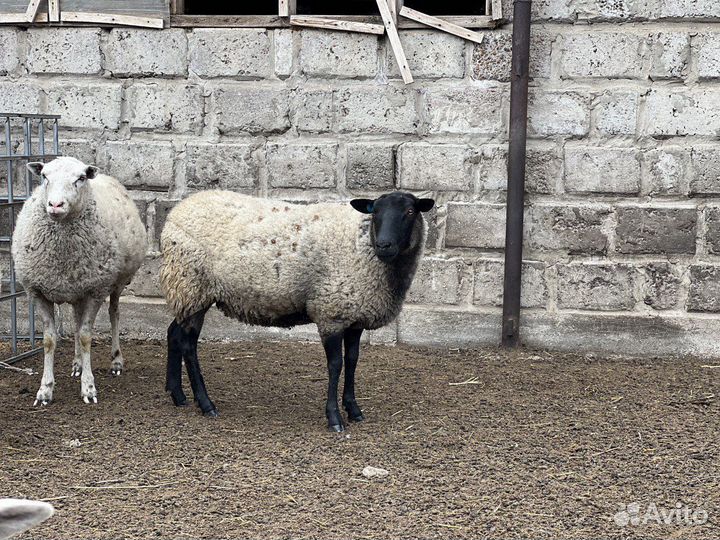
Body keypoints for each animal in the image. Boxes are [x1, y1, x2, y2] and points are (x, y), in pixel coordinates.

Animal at [11, 157, 147, 406]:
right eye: (44, 176)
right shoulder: (37, 292)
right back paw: (77, 364)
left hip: (116, 282)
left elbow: (85, 337)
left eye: (81, 178)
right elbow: (49, 340)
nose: (55, 205)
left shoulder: (95, 290)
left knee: (114, 313)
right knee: (75, 321)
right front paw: (45, 390)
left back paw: (116, 361)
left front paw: (89, 388)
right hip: (76, 289)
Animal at [160, 190, 434, 431]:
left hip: (188, 295)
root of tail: (176, 211)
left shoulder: (353, 315)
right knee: (188, 344)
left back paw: (177, 394)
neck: (363, 245)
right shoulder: (330, 313)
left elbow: (353, 361)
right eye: (375, 212)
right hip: (192, 285)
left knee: (174, 332)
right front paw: (334, 418)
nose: (384, 245)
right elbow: (335, 364)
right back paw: (206, 404)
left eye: (410, 211)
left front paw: (354, 410)